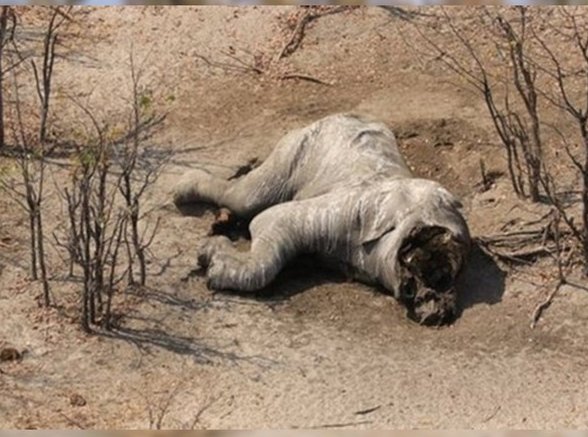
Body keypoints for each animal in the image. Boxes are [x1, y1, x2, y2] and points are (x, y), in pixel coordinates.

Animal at [172, 112, 470, 324]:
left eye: (447, 275)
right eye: (425, 236)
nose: (438, 312)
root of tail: (351, 115)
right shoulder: (348, 212)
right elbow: (269, 223)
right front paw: (209, 257)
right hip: (302, 145)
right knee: (245, 197)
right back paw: (182, 189)